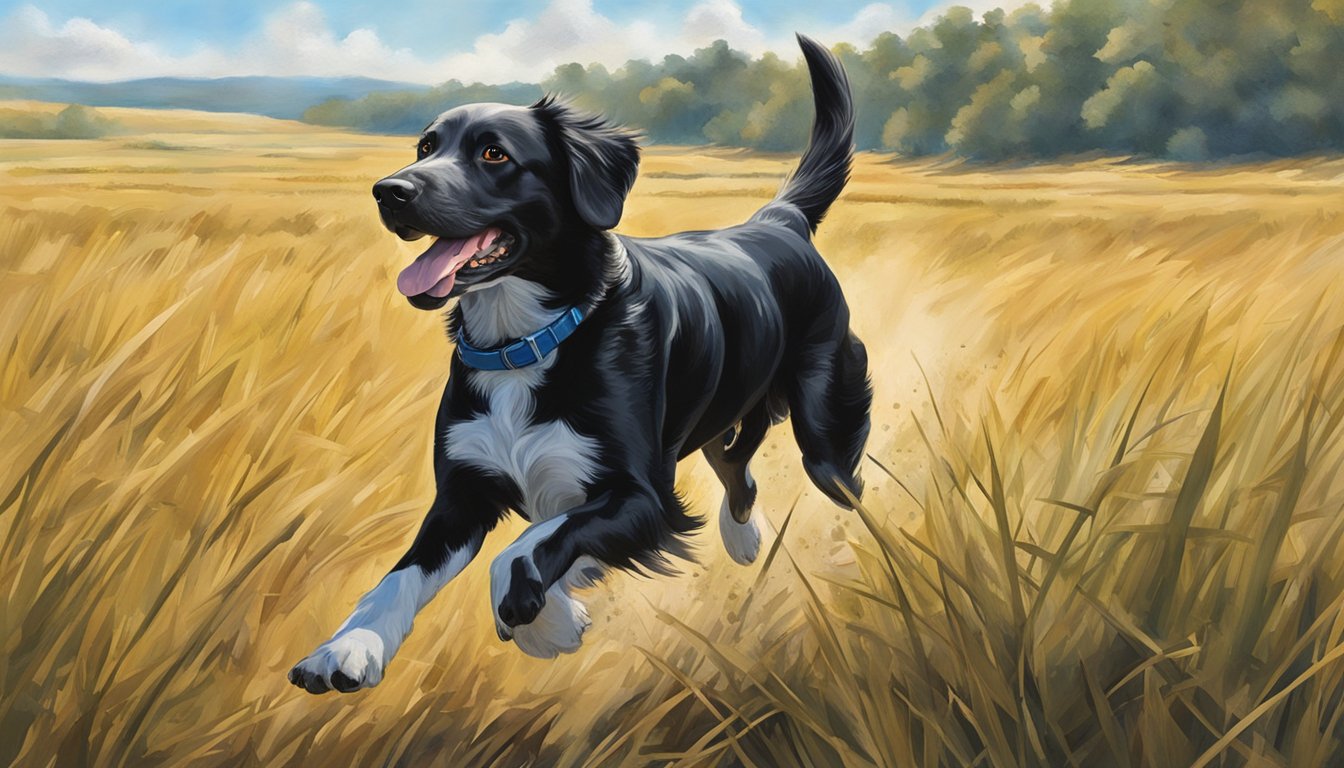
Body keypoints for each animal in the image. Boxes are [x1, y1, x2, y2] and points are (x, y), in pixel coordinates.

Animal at [290, 37, 870, 699]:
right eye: (425, 148)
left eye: (494, 153)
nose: (389, 191)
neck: (526, 343)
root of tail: (778, 221)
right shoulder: (462, 494)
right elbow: (401, 576)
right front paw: (346, 648)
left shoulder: (643, 496)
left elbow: (522, 551)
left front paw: (547, 626)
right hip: (720, 421)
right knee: (739, 473)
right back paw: (745, 542)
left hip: (824, 433)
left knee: (842, 487)